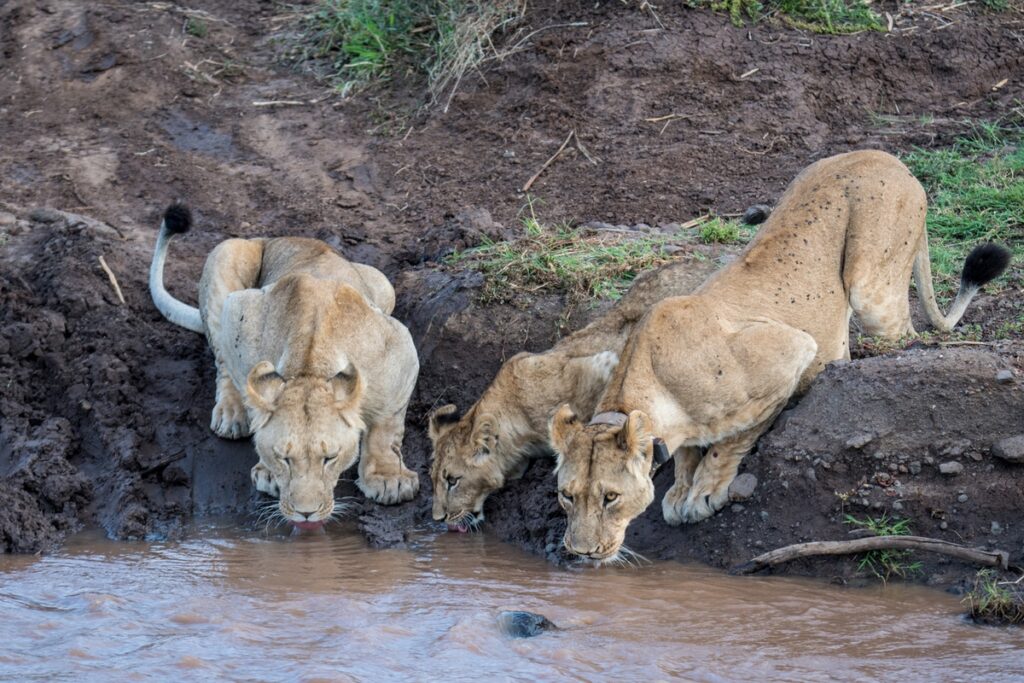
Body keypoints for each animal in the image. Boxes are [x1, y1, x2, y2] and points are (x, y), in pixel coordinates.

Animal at [149, 204, 420, 530]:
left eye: (329, 458)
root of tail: (282, 237)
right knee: (222, 361)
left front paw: (388, 478)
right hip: (226, 253)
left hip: (384, 285)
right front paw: (267, 470)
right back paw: (230, 414)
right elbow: (246, 386)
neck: (310, 366)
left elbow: (388, 426)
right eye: (284, 458)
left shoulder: (400, 345)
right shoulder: (241, 311)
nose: (306, 513)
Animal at [549, 150, 1011, 563]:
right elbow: (687, 452)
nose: (581, 552)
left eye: (610, 497)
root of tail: (891, 158)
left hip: (870, 288)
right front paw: (680, 487)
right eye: (566, 496)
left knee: (901, 333)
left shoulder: (791, 350)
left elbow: (731, 440)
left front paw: (705, 490)